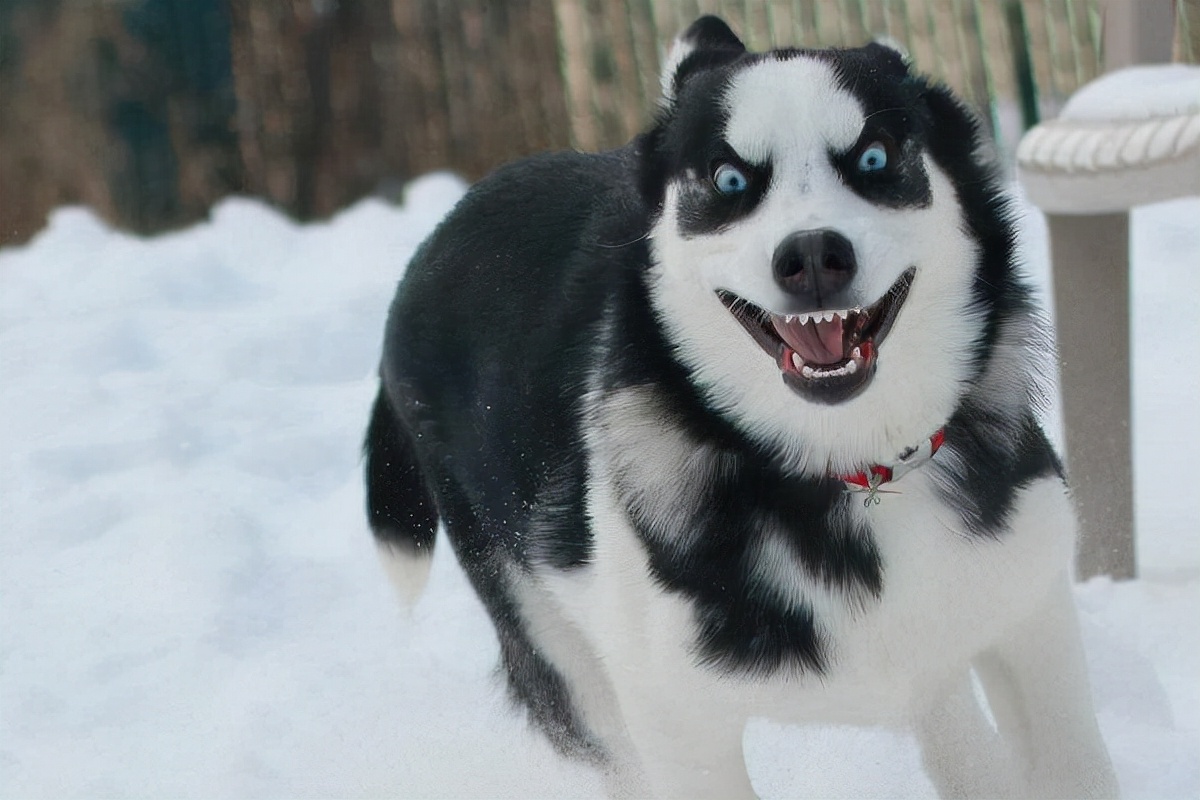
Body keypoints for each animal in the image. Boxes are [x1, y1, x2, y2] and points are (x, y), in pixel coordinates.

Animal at [360, 15, 1118, 796]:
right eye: (729, 180)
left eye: (874, 157)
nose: (812, 257)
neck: (848, 468)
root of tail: (435, 239)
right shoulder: (674, 720)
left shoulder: (1028, 611)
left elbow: (1071, 762)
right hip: (555, 648)